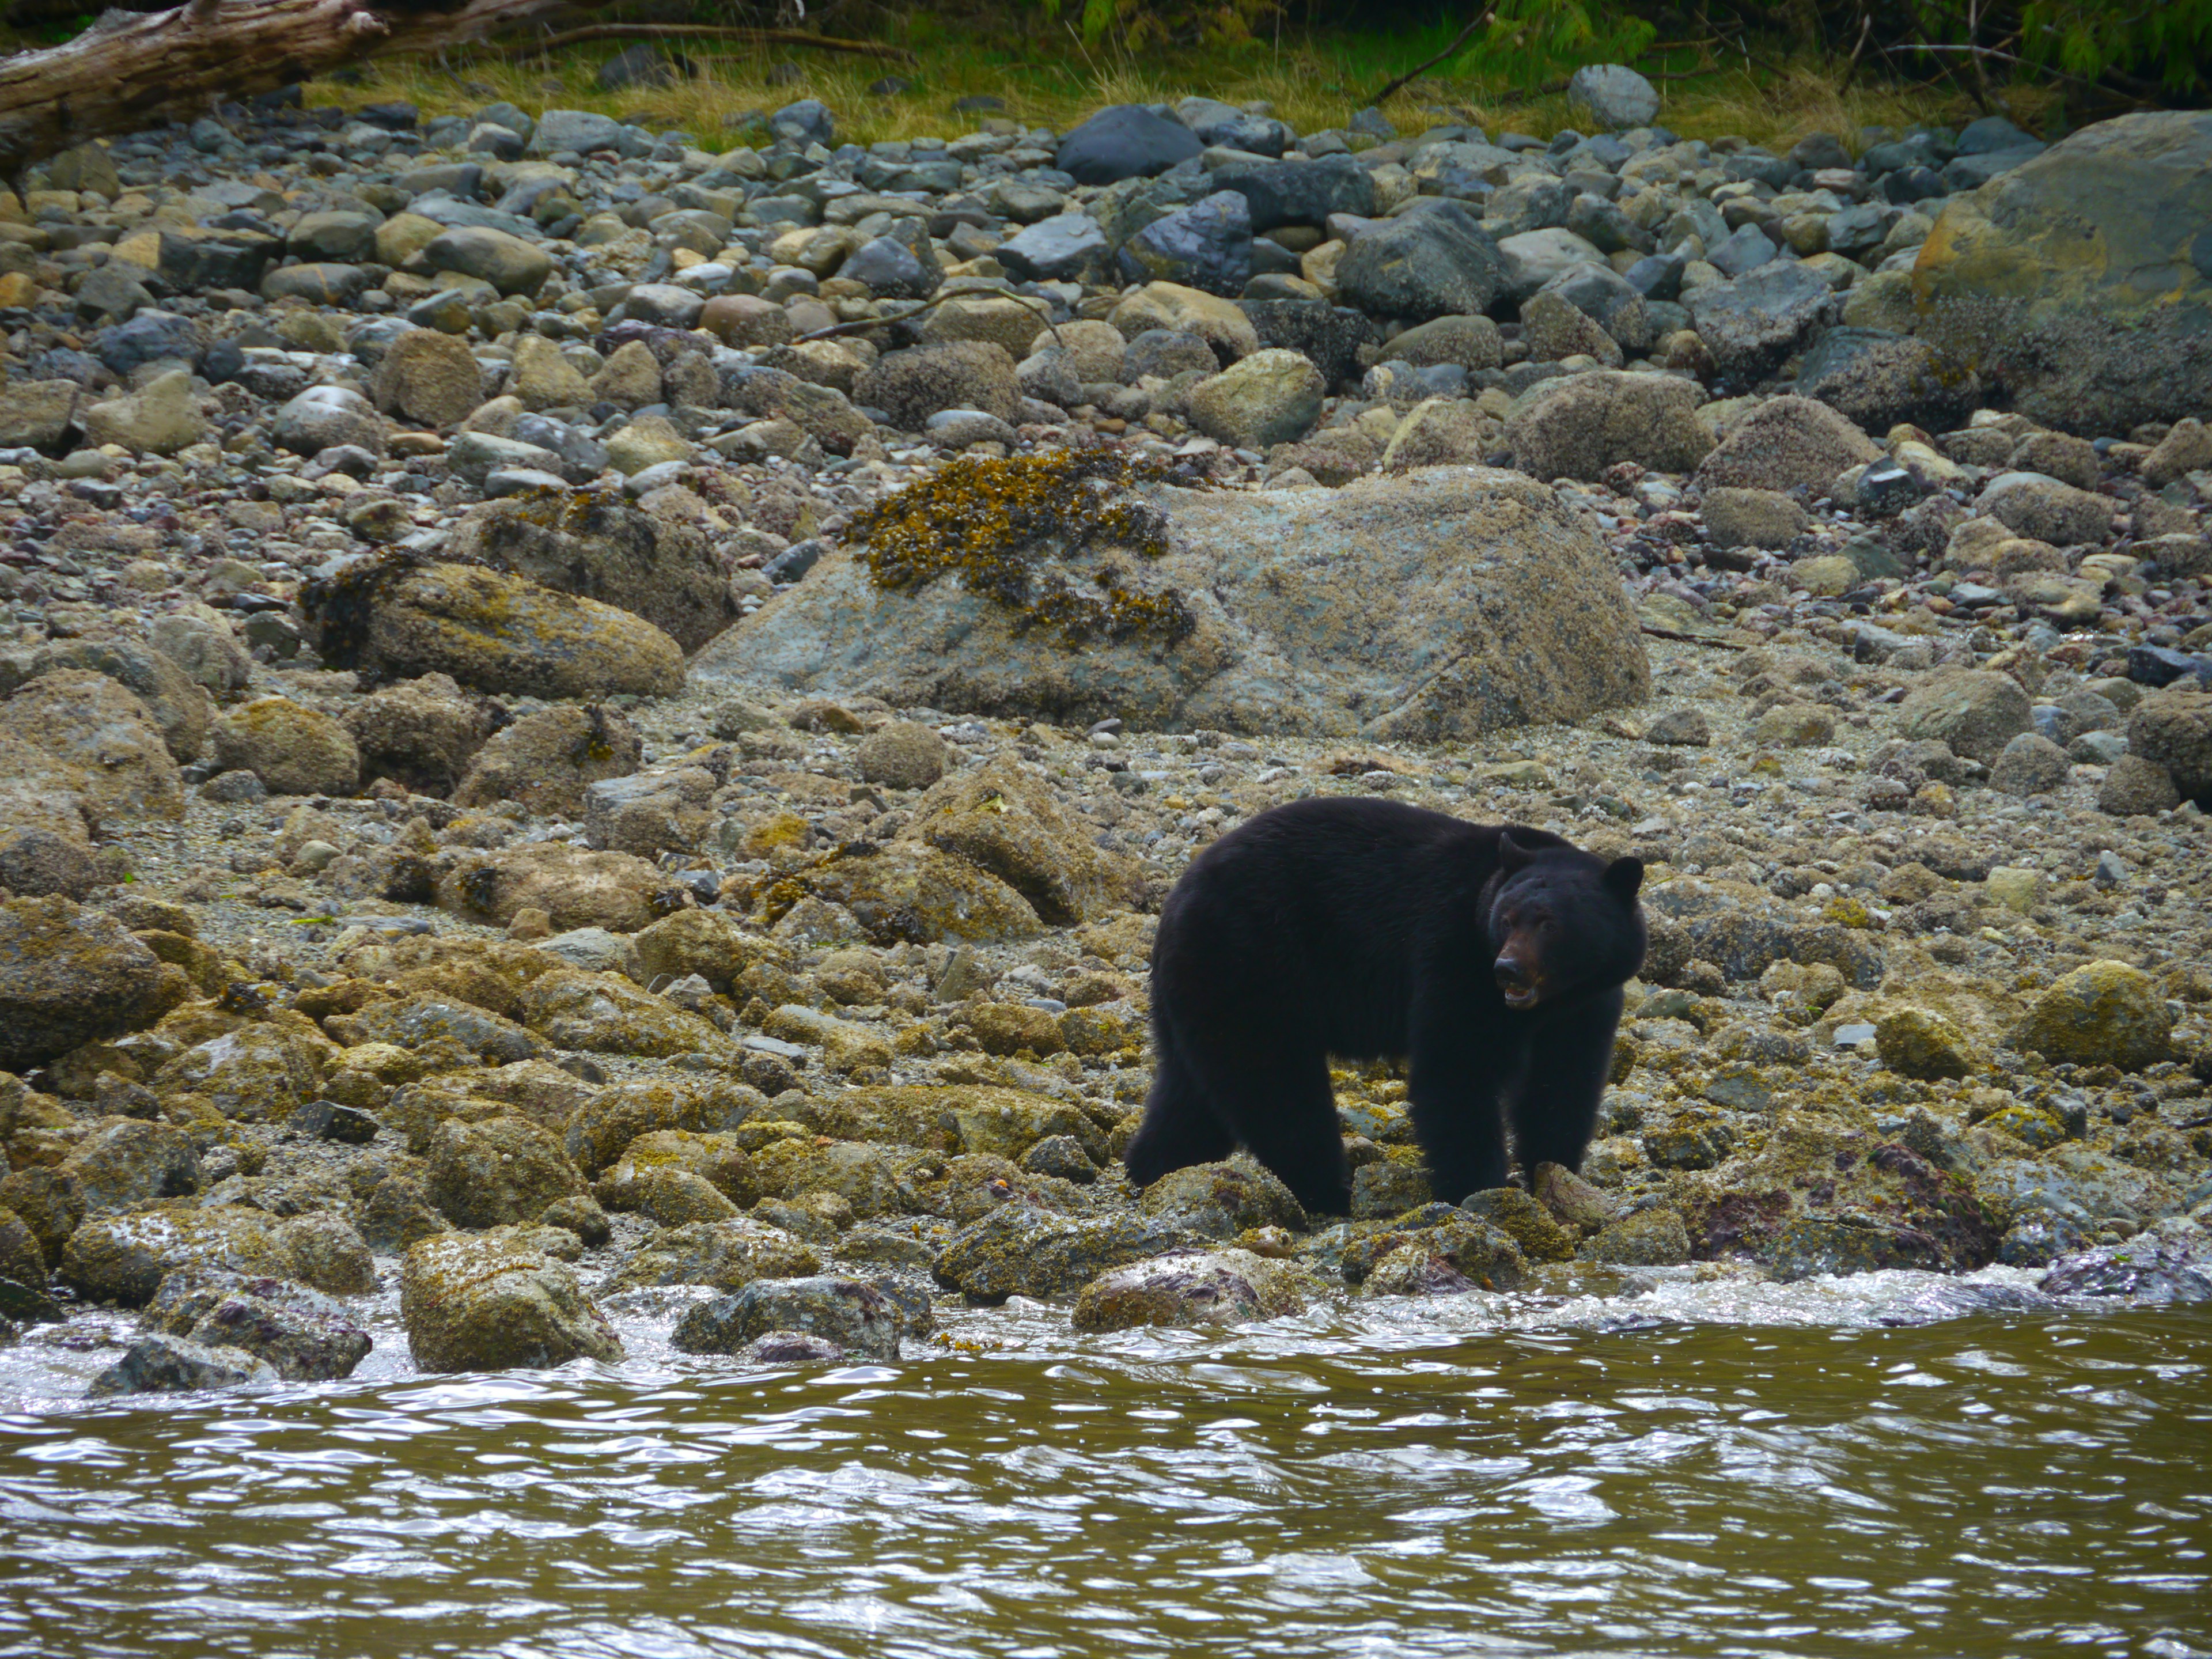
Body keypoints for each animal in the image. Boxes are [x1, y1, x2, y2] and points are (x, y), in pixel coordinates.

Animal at [1123, 801, 1645, 1212]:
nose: (1508, 969)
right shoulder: (1452, 957)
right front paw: (1480, 1189)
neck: (1547, 1001)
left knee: (1190, 1089)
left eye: (1549, 923)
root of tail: (1177, 895)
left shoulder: (1587, 1003)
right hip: (1253, 965)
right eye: (1507, 918)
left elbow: (1564, 1082)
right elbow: (1457, 1070)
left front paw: (1555, 1173)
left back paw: (1156, 1171)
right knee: (1275, 1087)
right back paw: (1327, 1192)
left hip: (1199, 988)